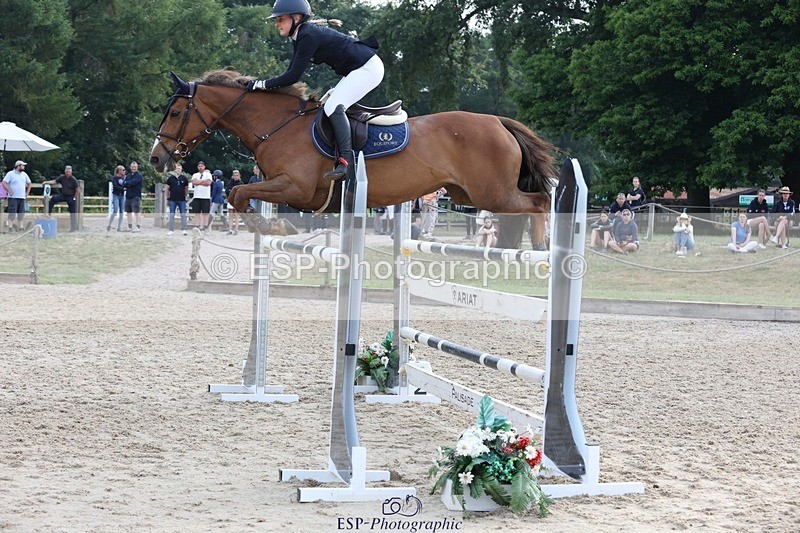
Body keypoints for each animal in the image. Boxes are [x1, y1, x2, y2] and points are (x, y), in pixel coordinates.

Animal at [150, 70, 558, 249]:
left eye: (175, 113)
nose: (155, 159)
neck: (278, 125)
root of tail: (498, 122)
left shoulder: (296, 189)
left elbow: (238, 194)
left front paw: (277, 227)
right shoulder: (284, 188)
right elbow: (239, 196)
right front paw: (274, 226)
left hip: (491, 193)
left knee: (540, 201)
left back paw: (542, 248)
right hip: (467, 195)